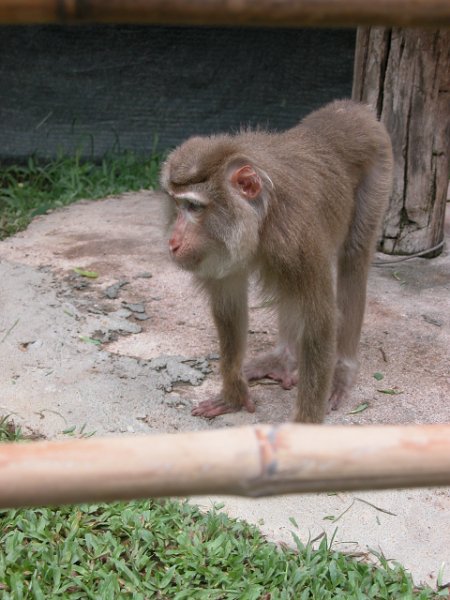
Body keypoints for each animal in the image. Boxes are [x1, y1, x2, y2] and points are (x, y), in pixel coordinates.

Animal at [160, 100, 393, 423]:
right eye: (178, 204)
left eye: (194, 207)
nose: (173, 242)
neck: (262, 218)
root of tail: (350, 108)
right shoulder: (222, 250)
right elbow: (229, 305)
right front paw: (233, 395)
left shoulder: (297, 236)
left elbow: (319, 321)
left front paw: (305, 426)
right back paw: (284, 359)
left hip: (379, 167)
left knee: (354, 258)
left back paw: (342, 370)